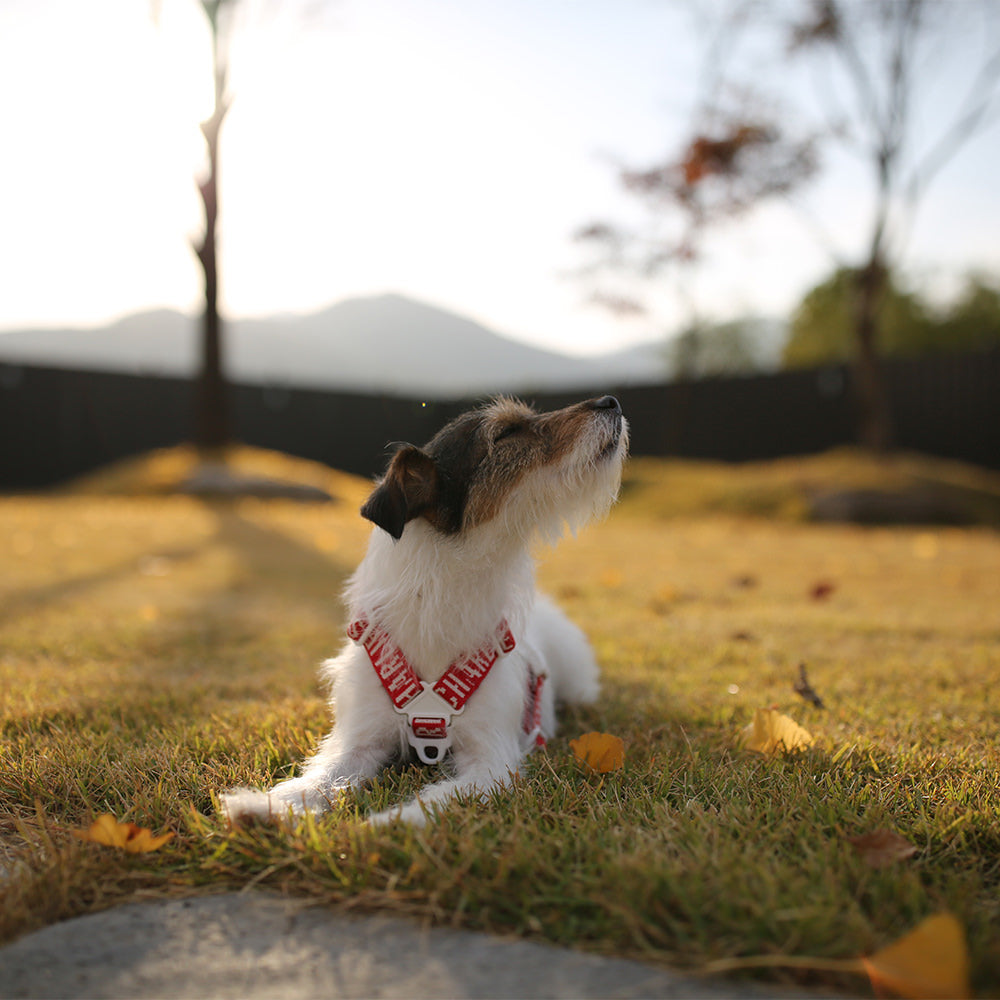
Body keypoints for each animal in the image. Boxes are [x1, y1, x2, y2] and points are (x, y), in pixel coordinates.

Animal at [221, 394, 624, 824]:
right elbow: (320, 780)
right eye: (508, 432)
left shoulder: (490, 760)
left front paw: (384, 824)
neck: (437, 602)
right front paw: (264, 805)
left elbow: (441, 798)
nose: (610, 401)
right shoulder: (360, 739)